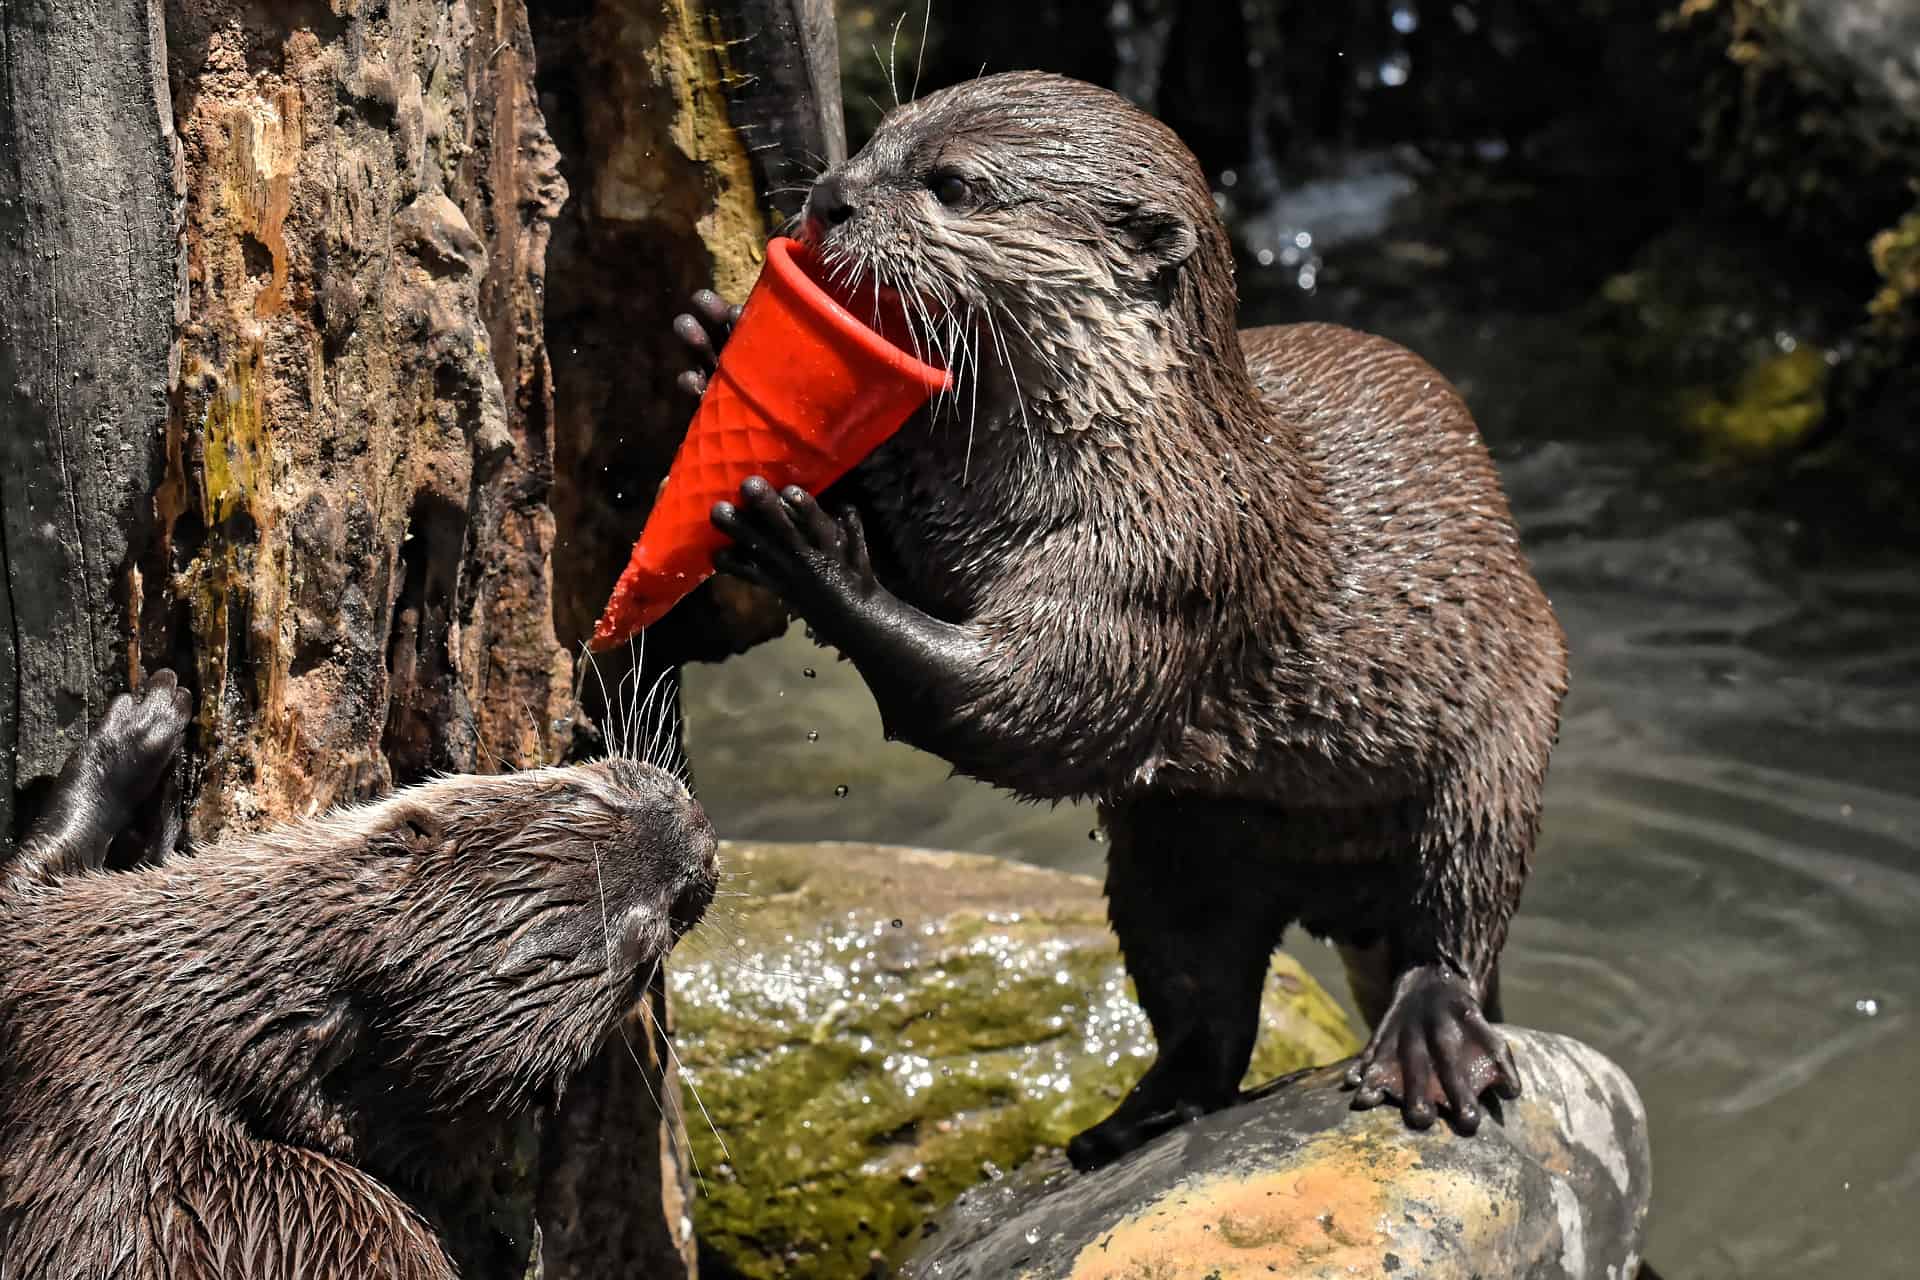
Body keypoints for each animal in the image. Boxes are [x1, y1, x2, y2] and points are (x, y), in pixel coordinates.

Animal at [675, 70, 1559, 1174]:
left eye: (952, 184)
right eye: (874, 139)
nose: (829, 196)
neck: (1093, 465)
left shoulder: (1175, 560)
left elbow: (1041, 712)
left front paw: (815, 553)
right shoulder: (950, 520)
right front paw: (714, 352)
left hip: (1501, 740)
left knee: (1458, 908)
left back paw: (1430, 1034)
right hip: (1178, 844)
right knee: (1204, 1000)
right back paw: (1134, 1116)